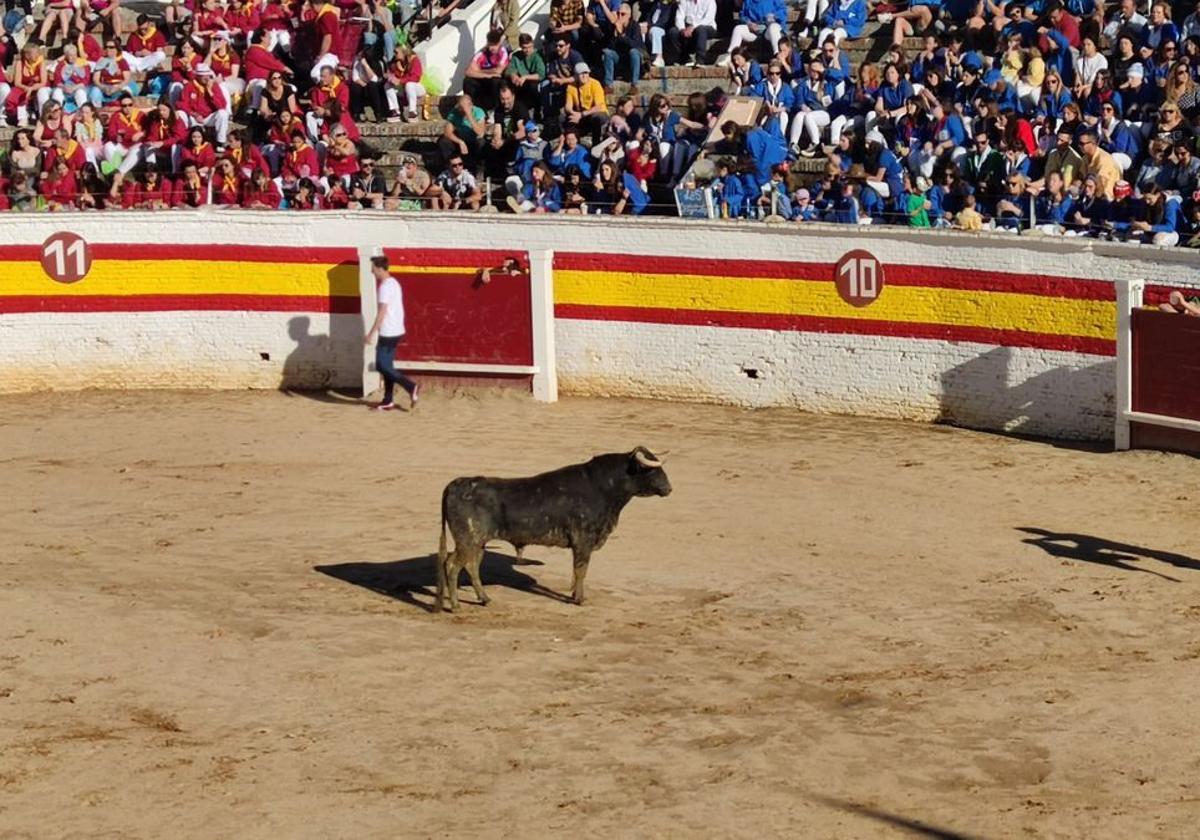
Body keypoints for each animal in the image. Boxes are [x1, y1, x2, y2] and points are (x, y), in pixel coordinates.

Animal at [434, 446, 676, 609]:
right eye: (651, 470)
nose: (669, 489)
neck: (604, 487)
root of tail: (455, 485)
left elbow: (578, 570)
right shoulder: (583, 540)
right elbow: (581, 570)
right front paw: (579, 599)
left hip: (477, 542)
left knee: (471, 566)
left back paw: (484, 599)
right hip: (468, 540)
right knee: (453, 565)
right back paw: (456, 606)